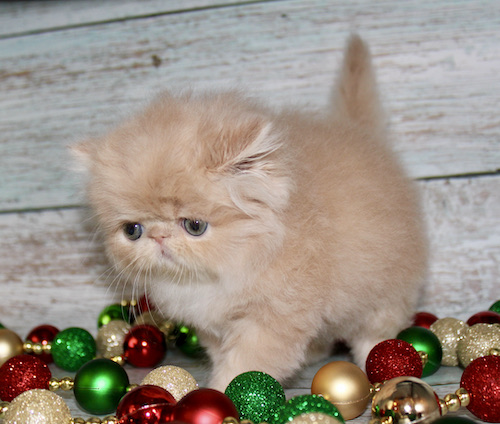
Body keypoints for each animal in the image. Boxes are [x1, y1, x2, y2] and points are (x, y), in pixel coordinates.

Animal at [74, 35, 427, 391]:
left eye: (195, 226)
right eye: (132, 231)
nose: (159, 237)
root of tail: (363, 136)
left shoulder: (273, 320)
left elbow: (244, 366)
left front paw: (221, 394)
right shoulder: (214, 327)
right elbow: (225, 356)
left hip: (385, 290)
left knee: (376, 331)